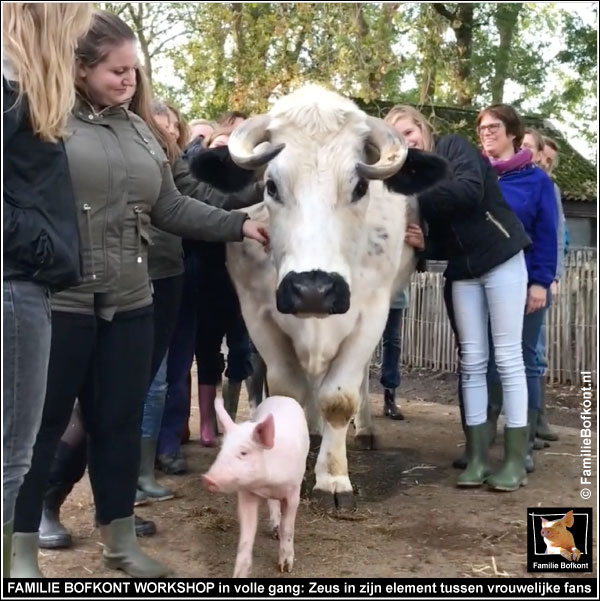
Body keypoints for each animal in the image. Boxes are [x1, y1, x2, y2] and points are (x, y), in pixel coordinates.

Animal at [192, 84, 446, 508]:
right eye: (271, 186)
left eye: (360, 186)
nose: (313, 289)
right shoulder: (257, 314)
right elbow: (288, 392)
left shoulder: (371, 313)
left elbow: (338, 398)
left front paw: (333, 478)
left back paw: (362, 430)